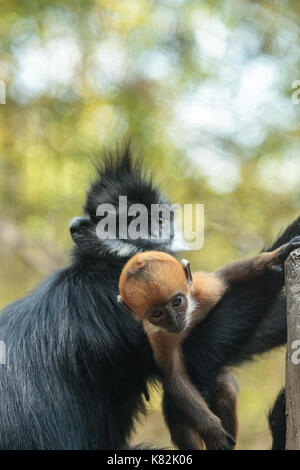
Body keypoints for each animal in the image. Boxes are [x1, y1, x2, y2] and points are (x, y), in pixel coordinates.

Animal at [118, 237, 300, 450]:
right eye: (157, 313)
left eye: (177, 302)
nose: (175, 320)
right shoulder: (160, 338)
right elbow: (175, 378)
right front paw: (214, 432)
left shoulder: (205, 288)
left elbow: (226, 275)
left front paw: (274, 257)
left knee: (223, 388)